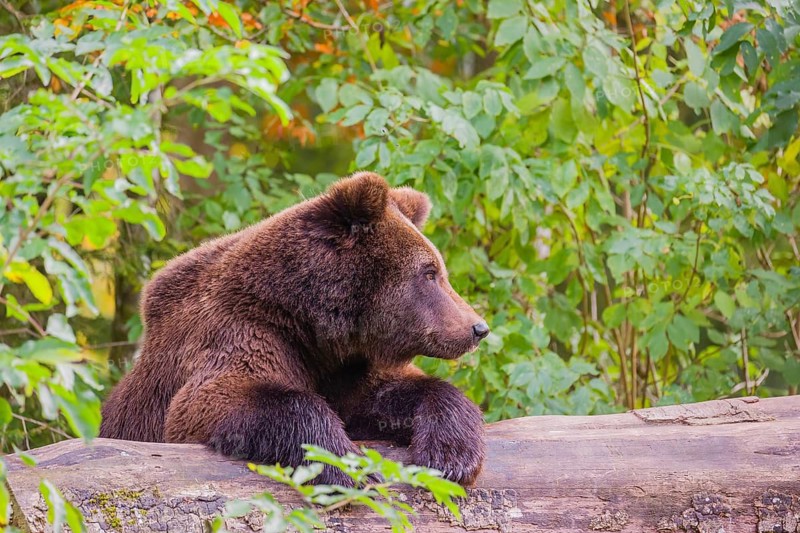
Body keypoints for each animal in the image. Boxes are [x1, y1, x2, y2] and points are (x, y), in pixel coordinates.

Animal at [99, 171, 490, 486]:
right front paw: (352, 468)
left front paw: (452, 457)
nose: (478, 328)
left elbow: (394, 394)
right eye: (429, 273)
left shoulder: (344, 369)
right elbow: (215, 402)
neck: (310, 324)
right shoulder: (241, 331)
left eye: (439, 269)